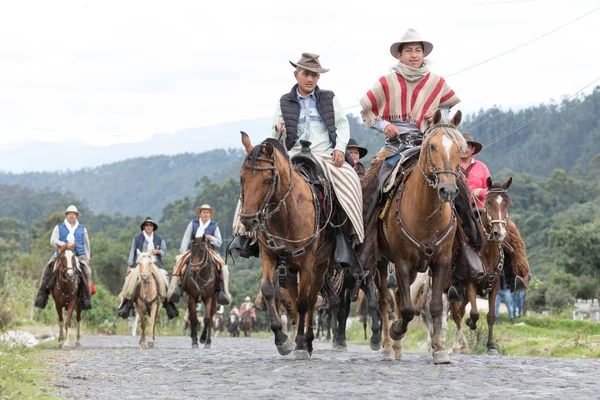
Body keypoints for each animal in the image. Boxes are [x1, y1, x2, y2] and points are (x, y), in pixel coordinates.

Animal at [239, 132, 336, 360]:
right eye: (242, 178)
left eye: (267, 179)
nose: (248, 220)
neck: (287, 212)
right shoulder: (270, 255)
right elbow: (268, 291)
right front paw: (281, 340)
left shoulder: (307, 262)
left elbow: (303, 303)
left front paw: (300, 344)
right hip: (290, 269)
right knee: (293, 299)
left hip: (319, 266)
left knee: (310, 300)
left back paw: (307, 341)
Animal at [372, 109, 466, 362]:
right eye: (432, 146)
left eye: (459, 149)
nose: (448, 190)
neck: (426, 216)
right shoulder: (402, 262)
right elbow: (406, 309)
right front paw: (397, 331)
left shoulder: (441, 261)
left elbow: (435, 308)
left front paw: (439, 349)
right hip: (382, 263)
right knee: (385, 301)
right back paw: (388, 346)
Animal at [450, 177, 528, 354]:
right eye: (489, 202)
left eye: (507, 203)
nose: (499, 233)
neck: (486, 250)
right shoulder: (471, 282)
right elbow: (474, 313)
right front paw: (471, 324)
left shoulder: (495, 284)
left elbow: (491, 316)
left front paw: (491, 345)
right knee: (455, 313)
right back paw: (457, 344)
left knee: (460, 311)